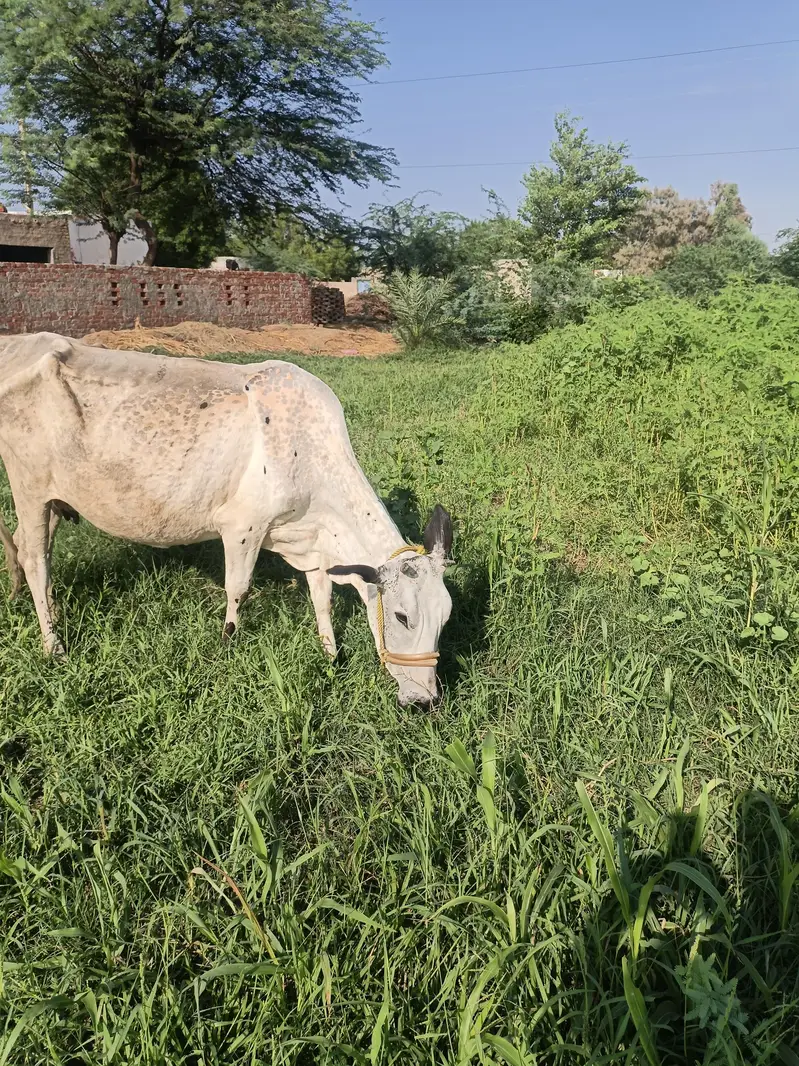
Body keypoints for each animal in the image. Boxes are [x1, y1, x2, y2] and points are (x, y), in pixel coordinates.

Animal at [0, 333, 453, 706]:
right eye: (402, 617)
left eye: (445, 616)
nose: (425, 700)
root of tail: (20, 344)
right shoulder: (242, 527)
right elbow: (238, 590)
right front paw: (227, 643)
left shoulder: (311, 541)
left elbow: (321, 596)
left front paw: (330, 652)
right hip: (29, 489)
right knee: (37, 560)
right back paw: (53, 645)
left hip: (52, 502)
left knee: (26, 549)